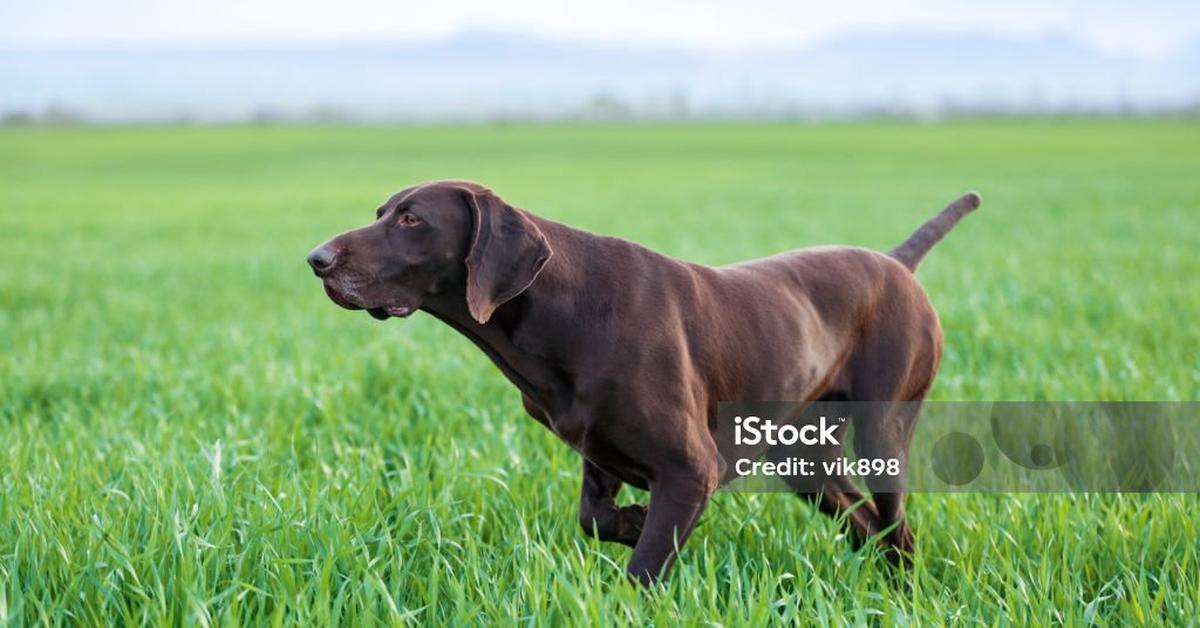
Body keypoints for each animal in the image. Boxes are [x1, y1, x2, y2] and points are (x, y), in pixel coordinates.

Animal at [304, 181, 979, 585]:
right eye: (381, 214)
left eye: (411, 219)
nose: (317, 259)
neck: (561, 309)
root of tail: (896, 263)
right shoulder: (599, 450)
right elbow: (594, 518)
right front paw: (630, 521)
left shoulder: (690, 469)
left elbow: (645, 568)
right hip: (802, 459)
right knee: (867, 525)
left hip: (883, 432)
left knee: (897, 528)